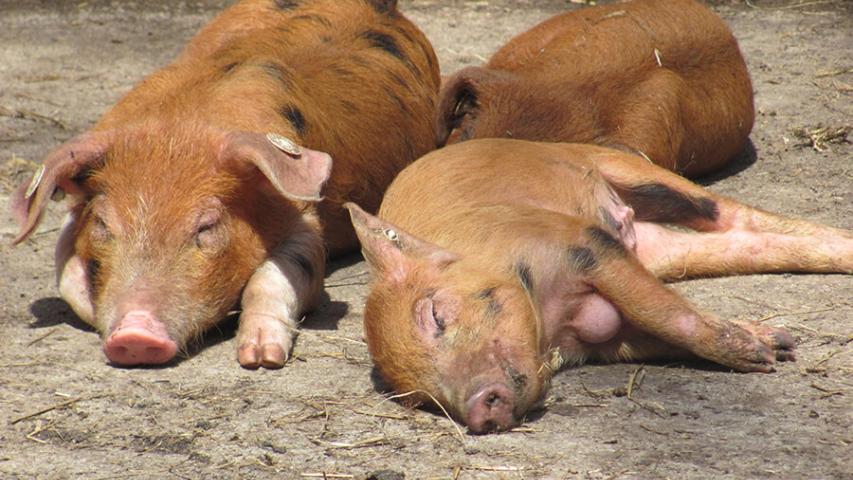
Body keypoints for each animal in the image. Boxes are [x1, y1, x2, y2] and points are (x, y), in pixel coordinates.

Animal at [8, 0, 440, 368]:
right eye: (102, 224)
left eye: (206, 226)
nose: (135, 335)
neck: (179, 126)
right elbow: (67, 280)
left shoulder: (305, 223)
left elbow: (275, 277)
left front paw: (261, 358)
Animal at [346, 137, 852, 434]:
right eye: (422, 400)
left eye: (435, 315)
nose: (477, 411)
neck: (549, 321)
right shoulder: (608, 335)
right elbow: (660, 324)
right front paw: (776, 345)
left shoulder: (582, 243)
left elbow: (666, 314)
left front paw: (761, 359)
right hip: (660, 249)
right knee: (743, 243)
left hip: (634, 171)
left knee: (731, 213)